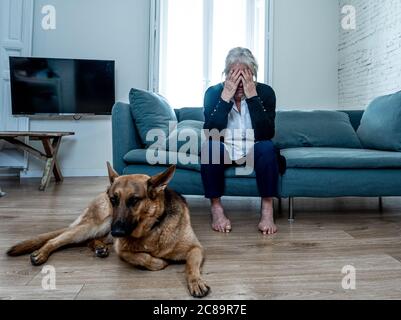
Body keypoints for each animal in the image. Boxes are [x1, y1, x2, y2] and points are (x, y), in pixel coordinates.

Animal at [7, 164, 209, 298]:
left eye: (134, 200)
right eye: (114, 199)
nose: (117, 232)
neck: (153, 228)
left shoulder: (196, 249)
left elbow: (190, 266)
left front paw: (196, 282)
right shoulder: (122, 250)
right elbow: (144, 258)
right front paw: (159, 262)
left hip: (102, 230)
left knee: (90, 240)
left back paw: (99, 248)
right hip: (95, 225)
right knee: (57, 239)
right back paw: (41, 253)